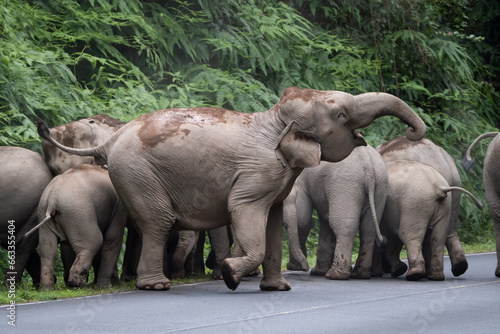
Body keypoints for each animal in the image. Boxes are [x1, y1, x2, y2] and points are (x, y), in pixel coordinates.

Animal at [284, 145, 388, 280]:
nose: (305, 267)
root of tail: (368, 166)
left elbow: (302, 219)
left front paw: (296, 267)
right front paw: (317, 272)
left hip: (345, 184)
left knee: (343, 226)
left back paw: (335, 275)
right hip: (380, 186)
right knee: (368, 229)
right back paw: (359, 274)